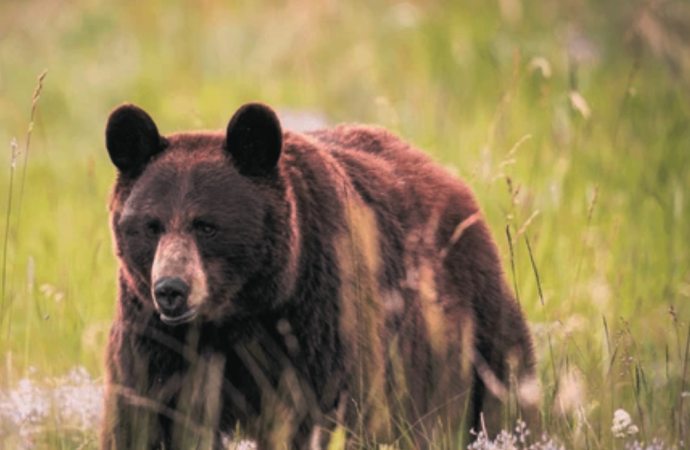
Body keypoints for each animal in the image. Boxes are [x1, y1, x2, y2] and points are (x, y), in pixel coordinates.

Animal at [100, 102, 538, 450]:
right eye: (151, 226)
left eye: (206, 226)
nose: (171, 290)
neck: (238, 314)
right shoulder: (156, 338)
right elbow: (143, 416)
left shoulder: (323, 317)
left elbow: (340, 411)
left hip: (470, 324)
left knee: (506, 391)